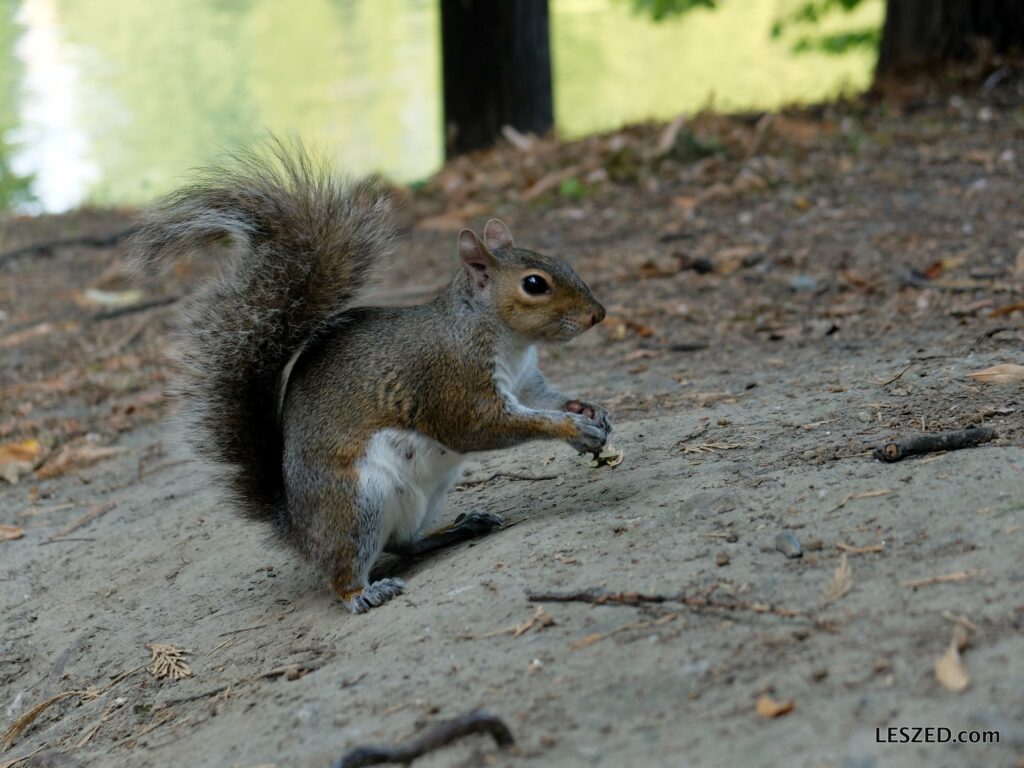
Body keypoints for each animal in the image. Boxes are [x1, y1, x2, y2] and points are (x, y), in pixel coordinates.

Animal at [128, 143, 606, 614]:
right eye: (534, 284)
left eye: (559, 261)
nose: (598, 314)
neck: (506, 340)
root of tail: (299, 529)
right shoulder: (452, 381)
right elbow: (483, 426)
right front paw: (572, 429)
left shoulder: (525, 381)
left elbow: (544, 398)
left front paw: (587, 409)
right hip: (357, 503)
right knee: (344, 569)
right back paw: (362, 592)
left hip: (428, 491)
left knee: (404, 542)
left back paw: (459, 528)